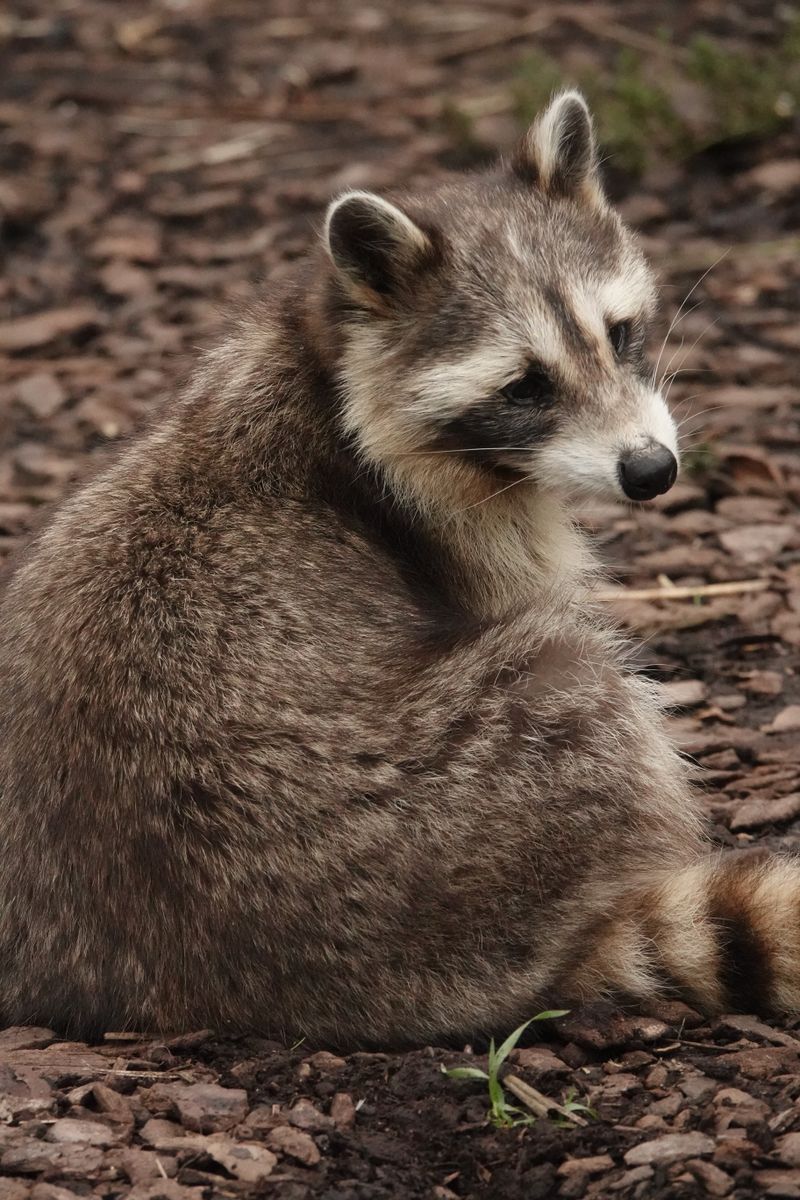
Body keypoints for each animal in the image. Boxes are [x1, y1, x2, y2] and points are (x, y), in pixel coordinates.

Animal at [0, 92, 796, 1043]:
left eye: (620, 333)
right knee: (579, 680)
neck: (329, 353)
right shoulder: (457, 530)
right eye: (525, 386)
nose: (651, 471)